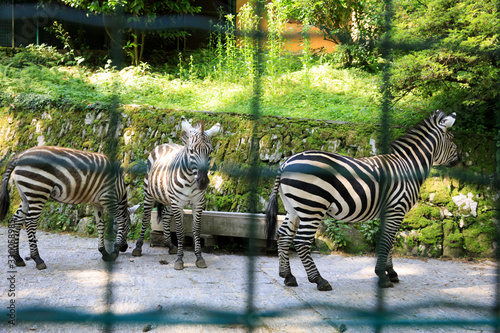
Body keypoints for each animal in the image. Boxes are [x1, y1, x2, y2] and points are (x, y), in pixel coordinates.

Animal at [0, 147, 131, 268]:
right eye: (129, 227)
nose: (125, 248)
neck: (120, 187)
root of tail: (19, 157)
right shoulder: (107, 198)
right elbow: (121, 219)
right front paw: (114, 252)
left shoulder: (97, 202)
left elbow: (100, 225)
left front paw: (104, 252)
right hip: (38, 191)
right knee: (30, 222)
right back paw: (37, 259)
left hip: (26, 196)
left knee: (15, 221)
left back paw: (17, 258)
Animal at [132, 115, 220, 268]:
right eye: (191, 151)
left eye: (210, 151)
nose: (203, 182)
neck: (190, 180)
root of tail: (165, 143)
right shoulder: (177, 203)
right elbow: (180, 230)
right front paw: (180, 260)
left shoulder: (197, 203)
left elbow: (196, 229)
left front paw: (199, 257)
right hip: (149, 192)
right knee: (146, 217)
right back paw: (138, 247)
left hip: (169, 198)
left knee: (166, 216)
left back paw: (170, 245)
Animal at [266, 110, 460, 290]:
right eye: (451, 139)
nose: (460, 160)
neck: (409, 167)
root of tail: (285, 163)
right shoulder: (397, 209)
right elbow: (387, 241)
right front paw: (383, 276)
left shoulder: (389, 212)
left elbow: (388, 242)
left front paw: (391, 273)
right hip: (313, 207)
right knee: (301, 241)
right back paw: (319, 280)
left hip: (293, 207)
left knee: (283, 236)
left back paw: (288, 276)